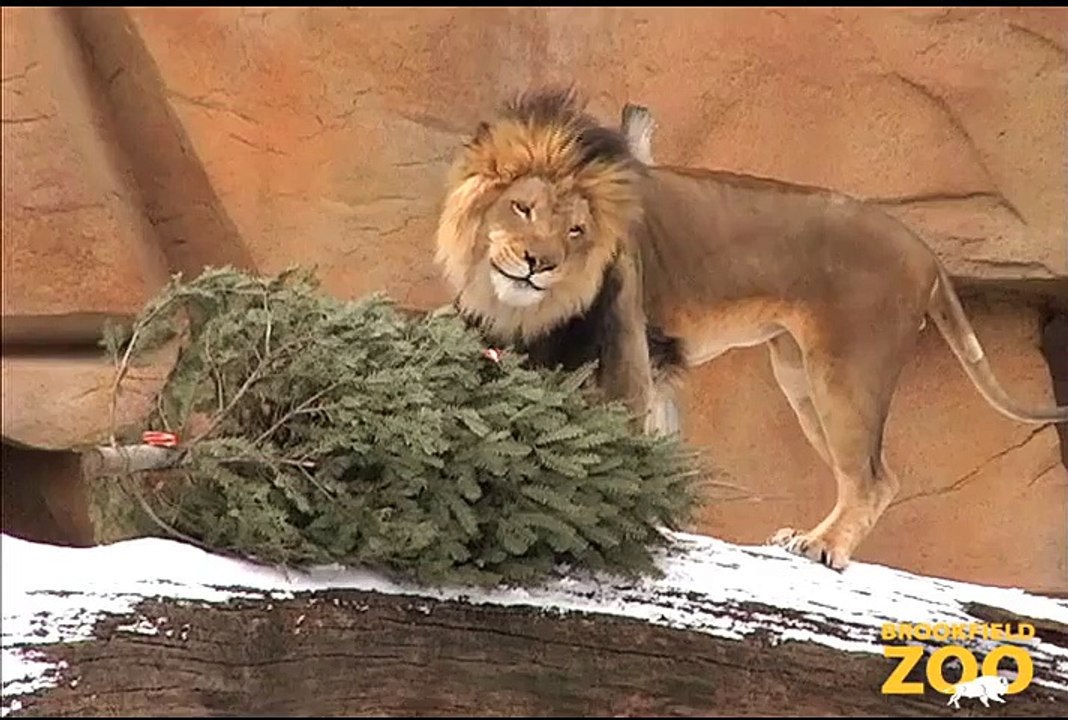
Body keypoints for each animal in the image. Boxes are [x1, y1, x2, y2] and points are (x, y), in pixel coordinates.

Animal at [433, 86, 1068, 572]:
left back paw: (822, 547)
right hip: (799, 376)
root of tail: (927, 253)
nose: (538, 264)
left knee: (874, 478)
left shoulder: (626, 345)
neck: (528, 307)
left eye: (575, 230)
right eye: (522, 208)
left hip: (846, 371)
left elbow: (628, 435)